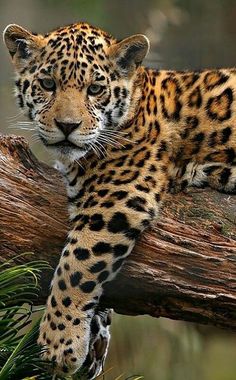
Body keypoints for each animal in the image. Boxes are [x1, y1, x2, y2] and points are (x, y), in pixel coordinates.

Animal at [2, 22, 235, 378]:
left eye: (95, 89)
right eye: (48, 84)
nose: (67, 126)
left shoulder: (118, 196)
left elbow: (75, 266)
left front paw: (59, 342)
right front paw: (93, 339)